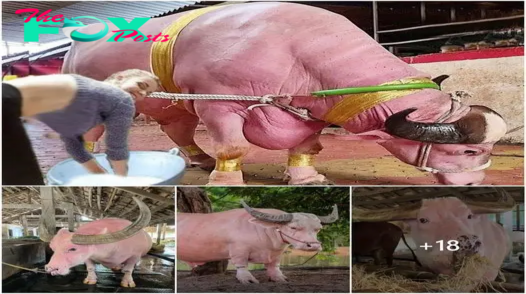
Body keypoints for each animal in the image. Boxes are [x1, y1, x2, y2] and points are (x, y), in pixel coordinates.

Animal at [62, 2, 508, 185]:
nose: (474, 184)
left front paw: (306, 176)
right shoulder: (220, 105)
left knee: (177, 129)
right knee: (87, 132)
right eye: (468, 150)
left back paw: (198, 158)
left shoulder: (310, 113)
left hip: (176, 108)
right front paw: (227, 178)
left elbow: (308, 146)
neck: (294, 53)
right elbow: (233, 148)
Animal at [179, 200, 340, 282]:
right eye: (293, 227)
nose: (313, 245)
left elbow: (274, 266)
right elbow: (242, 265)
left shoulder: (276, 254)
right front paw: (248, 279)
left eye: (318, 229)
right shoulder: (239, 250)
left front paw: (279, 278)